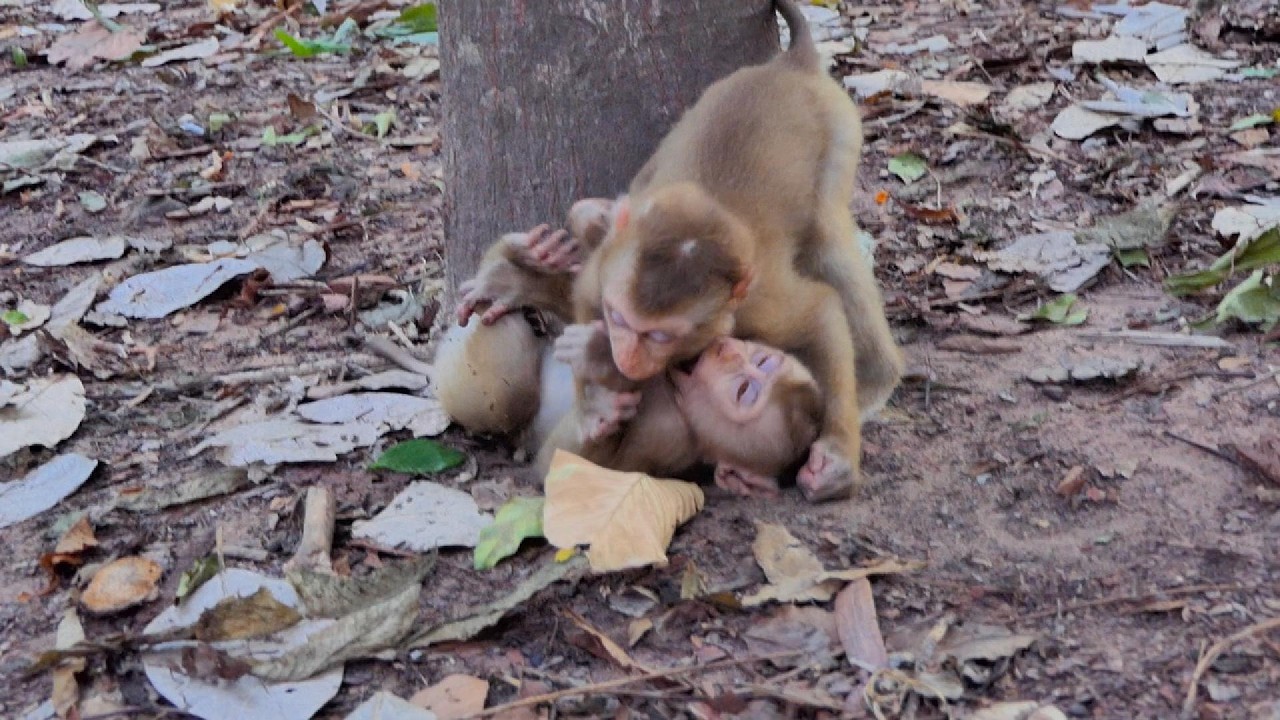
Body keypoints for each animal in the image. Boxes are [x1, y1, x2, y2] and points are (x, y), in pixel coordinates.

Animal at [566, 0, 904, 502]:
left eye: (659, 336)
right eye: (620, 320)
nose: (627, 358)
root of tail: (790, 66)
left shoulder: (757, 308)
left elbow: (820, 309)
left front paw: (839, 454)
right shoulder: (601, 277)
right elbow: (583, 300)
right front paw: (594, 400)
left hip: (842, 128)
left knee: (829, 239)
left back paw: (879, 376)